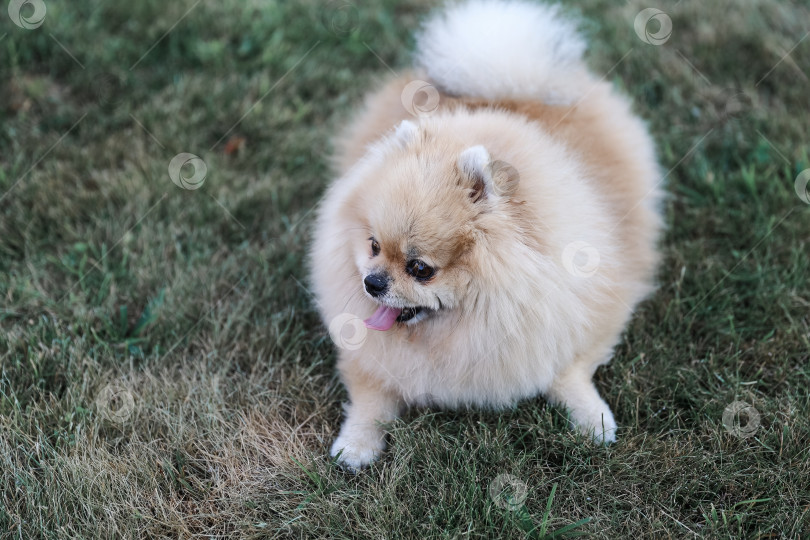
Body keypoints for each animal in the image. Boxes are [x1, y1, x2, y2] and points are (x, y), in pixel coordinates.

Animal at [306, 0, 660, 470]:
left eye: (421, 269)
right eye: (374, 246)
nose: (372, 282)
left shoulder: (588, 309)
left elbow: (569, 368)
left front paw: (593, 419)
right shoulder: (370, 358)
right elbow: (370, 396)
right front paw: (357, 444)